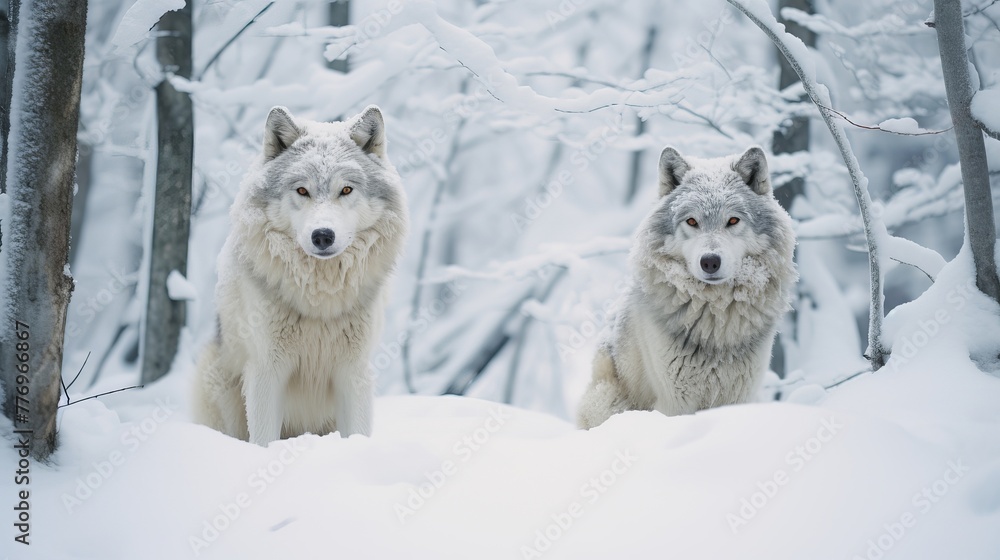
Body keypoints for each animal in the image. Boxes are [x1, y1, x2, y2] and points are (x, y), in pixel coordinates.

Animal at [192, 105, 409, 446]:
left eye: (346, 189)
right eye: (302, 190)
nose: (322, 235)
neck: (320, 301)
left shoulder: (354, 372)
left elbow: (356, 432)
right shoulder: (267, 371)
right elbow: (263, 439)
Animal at [577, 146, 796, 429]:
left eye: (733, 220)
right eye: (692, 222)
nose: (710, 261)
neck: (715, 322)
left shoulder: (739, 397)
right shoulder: (675, 402)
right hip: (608, 400)